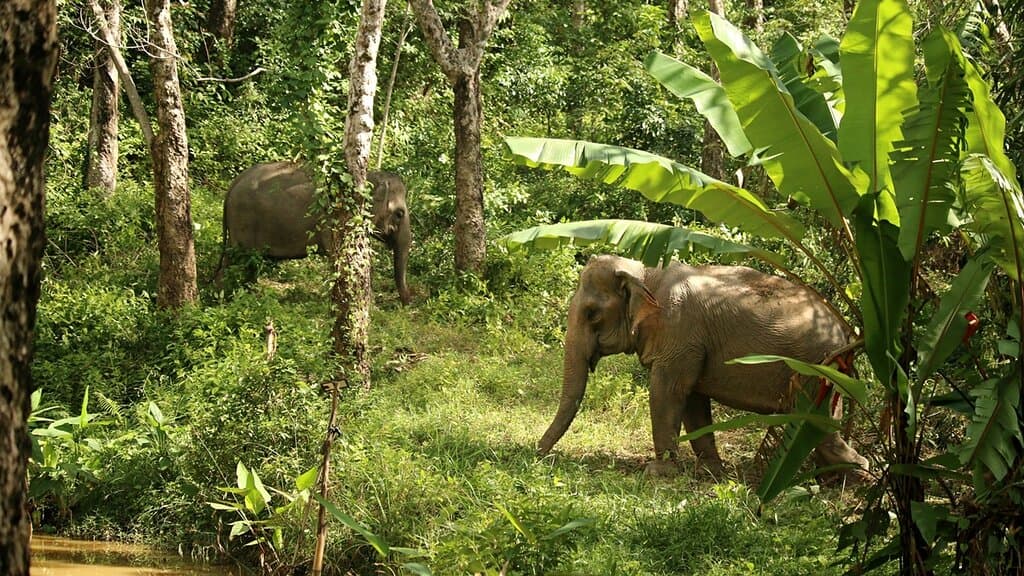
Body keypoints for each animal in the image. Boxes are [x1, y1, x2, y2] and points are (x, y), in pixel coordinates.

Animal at [215, 161, 411, 304]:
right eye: (399, 214)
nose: (407, 303)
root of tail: (234, 184)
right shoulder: (334, 220)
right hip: (243, 221)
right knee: (238, 260)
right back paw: (225, 299)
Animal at [538, 254, 868, 477]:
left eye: (592, 314)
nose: (538, 454)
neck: (645, 273)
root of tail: (847, 330)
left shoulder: (679, 332)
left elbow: (668, 392)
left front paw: (658, 473)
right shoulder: (693, 344)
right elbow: (693, 400)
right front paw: (710, 471)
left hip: (816, 367)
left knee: (817, 422)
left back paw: (855, 475)